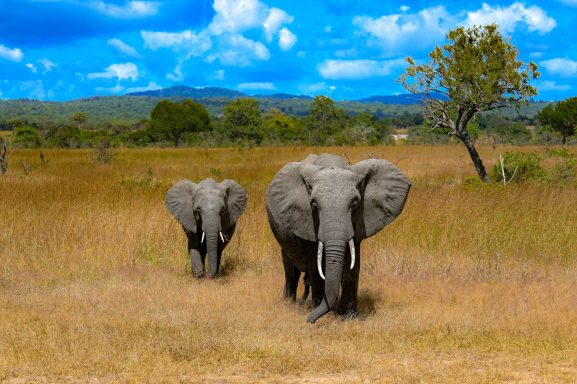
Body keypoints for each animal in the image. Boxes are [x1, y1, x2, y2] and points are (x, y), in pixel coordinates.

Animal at [266, 154, 410, 322]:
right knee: (290, 269)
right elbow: (315, 265)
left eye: (355, 204)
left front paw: (348, 317)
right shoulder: (307, 222)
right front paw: (321, 310)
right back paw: (289, 303)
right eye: (314, 205)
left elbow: (352, 264)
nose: (309, 320)